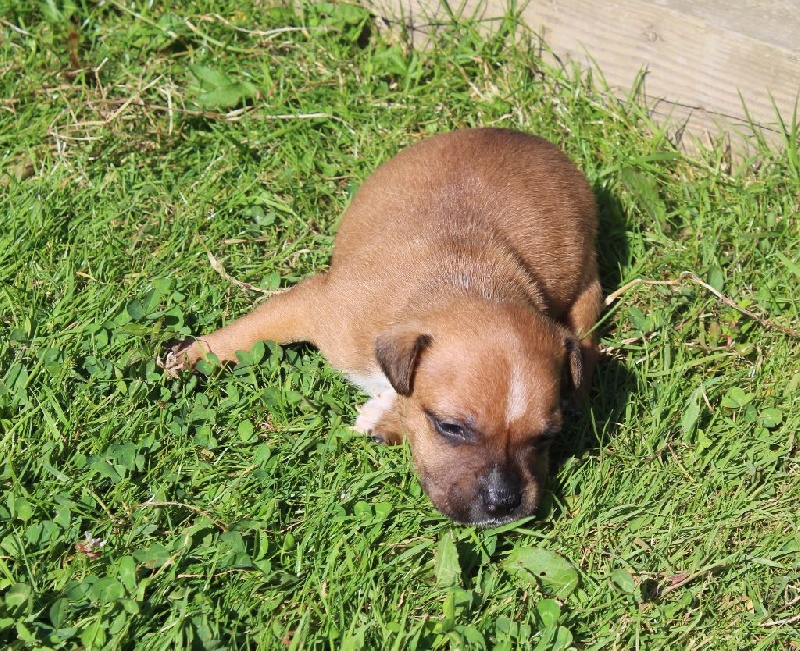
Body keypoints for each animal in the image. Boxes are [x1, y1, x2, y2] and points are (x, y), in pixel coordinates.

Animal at [166, 130, 604, 528]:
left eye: (545, 438)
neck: (466, 285)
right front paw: (189, 356)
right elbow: (244, 332)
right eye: (450, 428)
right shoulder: (315, 306)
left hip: (586, 291)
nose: (504, 503)